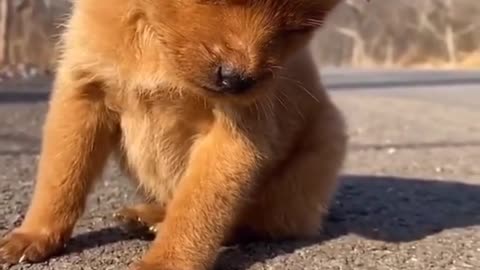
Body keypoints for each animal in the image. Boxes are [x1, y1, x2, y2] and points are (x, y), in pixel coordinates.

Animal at [0, 1, 346, 268]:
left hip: (317, 154)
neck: (155, 40)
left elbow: (197, 207)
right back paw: (147, 215)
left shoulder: (236, 134)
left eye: (297, 28)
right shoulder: (83, 94)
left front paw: (165, 262)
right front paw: (33, 235)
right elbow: (60, 178)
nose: (237, 80)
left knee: (255, 221)